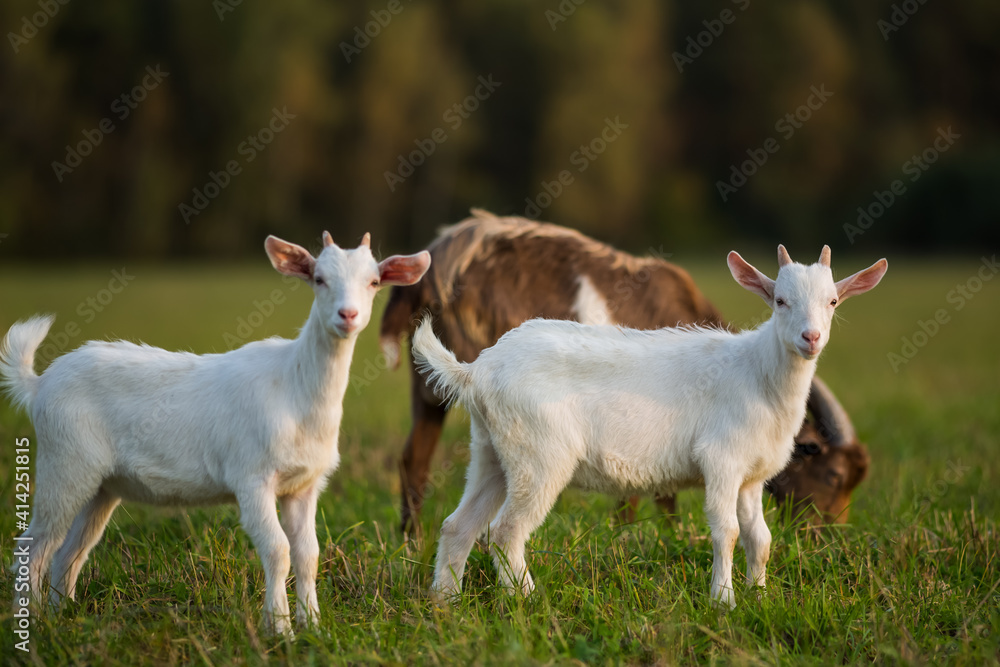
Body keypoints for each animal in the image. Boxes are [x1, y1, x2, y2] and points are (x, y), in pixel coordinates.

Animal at [0, 233, 430, 635]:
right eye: (319, 278)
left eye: (374, 281)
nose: (348, 314)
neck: (295, 388)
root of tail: (39, 385)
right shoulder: (251, 476)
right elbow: (278, 550)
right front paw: (281, 630)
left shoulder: (304, 485)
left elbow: (308, 553)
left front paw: (314, 626)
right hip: (64, 463)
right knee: (32, 547)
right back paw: (35, 624)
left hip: (101, 484)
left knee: (70, 550)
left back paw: (64, 615)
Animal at [381, 210, 869, 531]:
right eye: (832, 475)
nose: (829, 539)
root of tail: (436, 266)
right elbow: (646, 490)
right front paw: (635, 539)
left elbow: (663, 491)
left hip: (427, 388)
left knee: (413, 460)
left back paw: (410, 543)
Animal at [412, 245, 886, 608]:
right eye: (780, 300)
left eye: (833, 302)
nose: (811, 338)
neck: (758, 374)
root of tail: (477, 371)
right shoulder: (721, 461)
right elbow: (727, 531)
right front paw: (724, 601)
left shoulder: (751, 477)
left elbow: (760, 537)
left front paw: (760, 596)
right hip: (539, 456)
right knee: (505, 530)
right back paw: (527, 599)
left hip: (491, 450)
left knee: (459, 525)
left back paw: (445, 602)